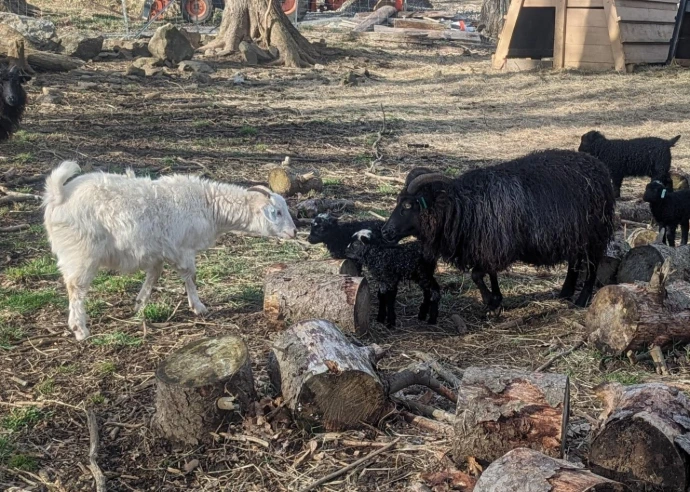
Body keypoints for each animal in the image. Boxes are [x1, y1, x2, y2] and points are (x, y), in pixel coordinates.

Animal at [43, 161, 297, 341]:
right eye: (277, 212)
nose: (294, 232)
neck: (208, 205)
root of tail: (58, 196)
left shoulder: (157, 250)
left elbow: (154, 275)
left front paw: (139, 305)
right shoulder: (182, 248)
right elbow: (190, 276)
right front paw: (198, 307)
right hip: (81, 254)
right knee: (76, 288)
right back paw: (80, 329)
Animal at [380, 150, 615, 312]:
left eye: (408, 205)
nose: (385, 232)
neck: (462, 206)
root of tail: (601, 168)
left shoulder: (496, 246)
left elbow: (476, 275)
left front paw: (490, 302)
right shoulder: (487, 246)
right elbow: (488, 274)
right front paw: (496, 299)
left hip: (595, 233)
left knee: (592, 266)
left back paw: (581, 300)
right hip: (575, 234)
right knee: (575, 261)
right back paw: (565, 293)